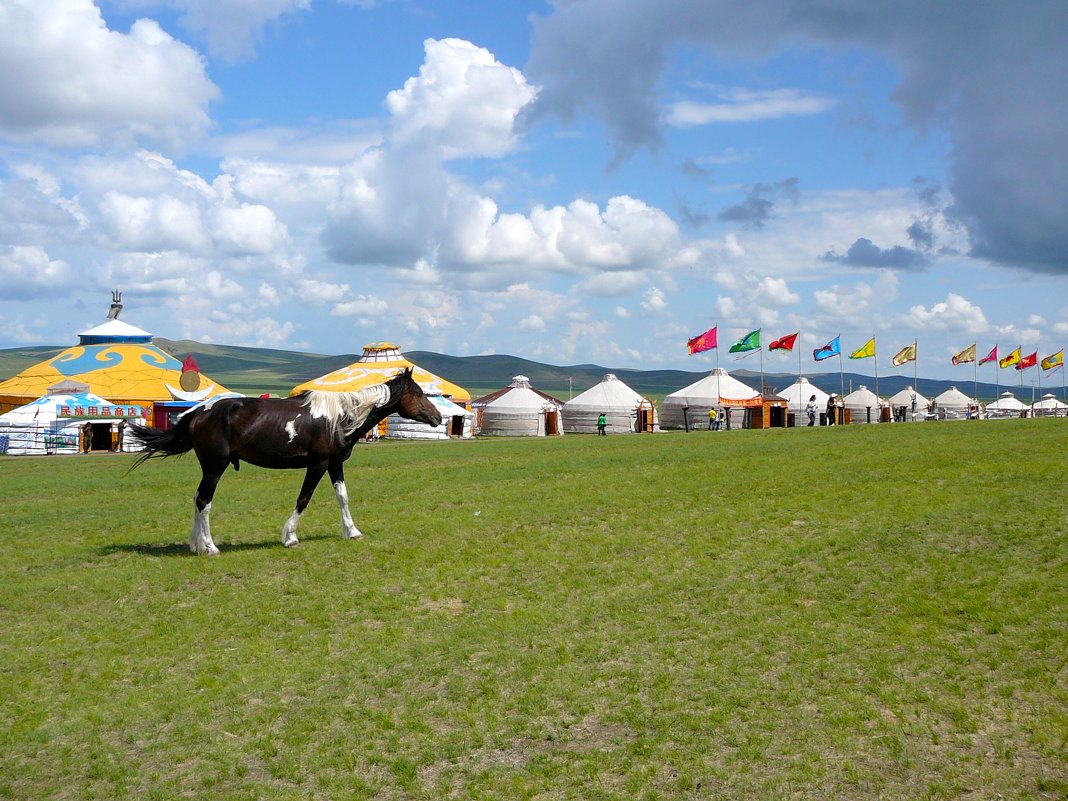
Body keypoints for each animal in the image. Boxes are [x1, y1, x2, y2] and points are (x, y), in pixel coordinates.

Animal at [127, 369, 440, 551]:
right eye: (419, 393)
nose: (437, 417)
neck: (340, 416)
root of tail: (199, 411)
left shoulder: (335, 464)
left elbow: (343, 497)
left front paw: (352, 531)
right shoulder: (318, 465)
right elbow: (303, 499)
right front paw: (290, 537)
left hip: (209, 468)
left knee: (196, 499)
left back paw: (195, 544)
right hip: (216, 467)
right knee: (204, 501)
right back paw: (210, 546)